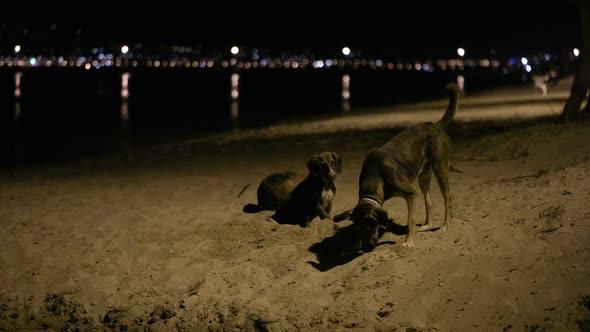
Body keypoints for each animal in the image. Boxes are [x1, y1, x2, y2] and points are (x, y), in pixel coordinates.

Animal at [338, 83, 462, 252]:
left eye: (371, 227)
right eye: (358, 230)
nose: (367, 249)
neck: (376, 176)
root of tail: (435, 125)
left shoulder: (411, 194)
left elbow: (411, 220)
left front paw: (409, 241)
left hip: (440, 170)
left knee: (447, 199)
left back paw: (446, 225)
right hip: (424, 177)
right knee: (429, 203)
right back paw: (427, 225)